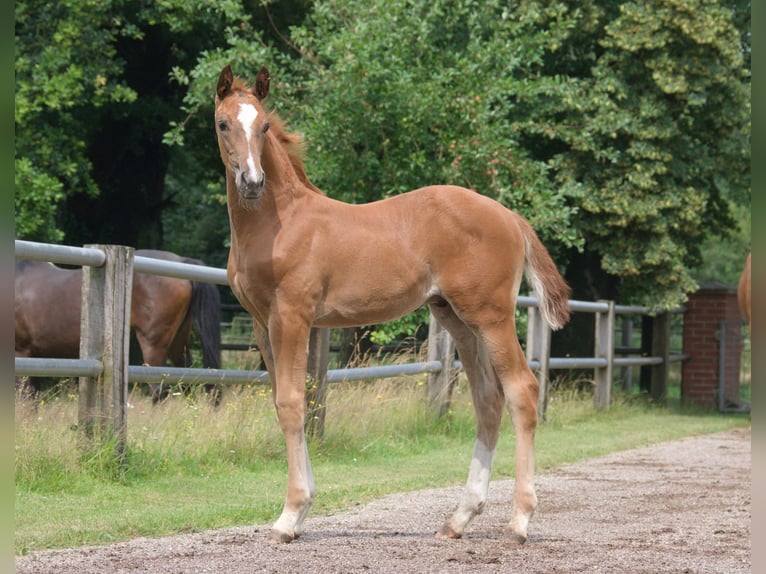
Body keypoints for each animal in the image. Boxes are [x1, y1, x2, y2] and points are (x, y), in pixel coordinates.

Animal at [14, 250, 222, 402]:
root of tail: (180, 261)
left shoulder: (21, 352)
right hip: (178, 342)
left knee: (159, 390)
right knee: (188, 381)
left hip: (154, 345)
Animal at [214, 65, 568, 548]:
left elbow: (291, 402)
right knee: (487, 399)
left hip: (491, 315)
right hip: (456, 318)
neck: (278, 222)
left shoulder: (292, 315)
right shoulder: (259, 322)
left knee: (522, 391)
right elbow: (284, 401)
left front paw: (289, 517)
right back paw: (458, 520)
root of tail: (511, 217)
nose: (252, 183)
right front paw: (302, 511)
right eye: (223, 123)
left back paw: (518, 522)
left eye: (264, 125)